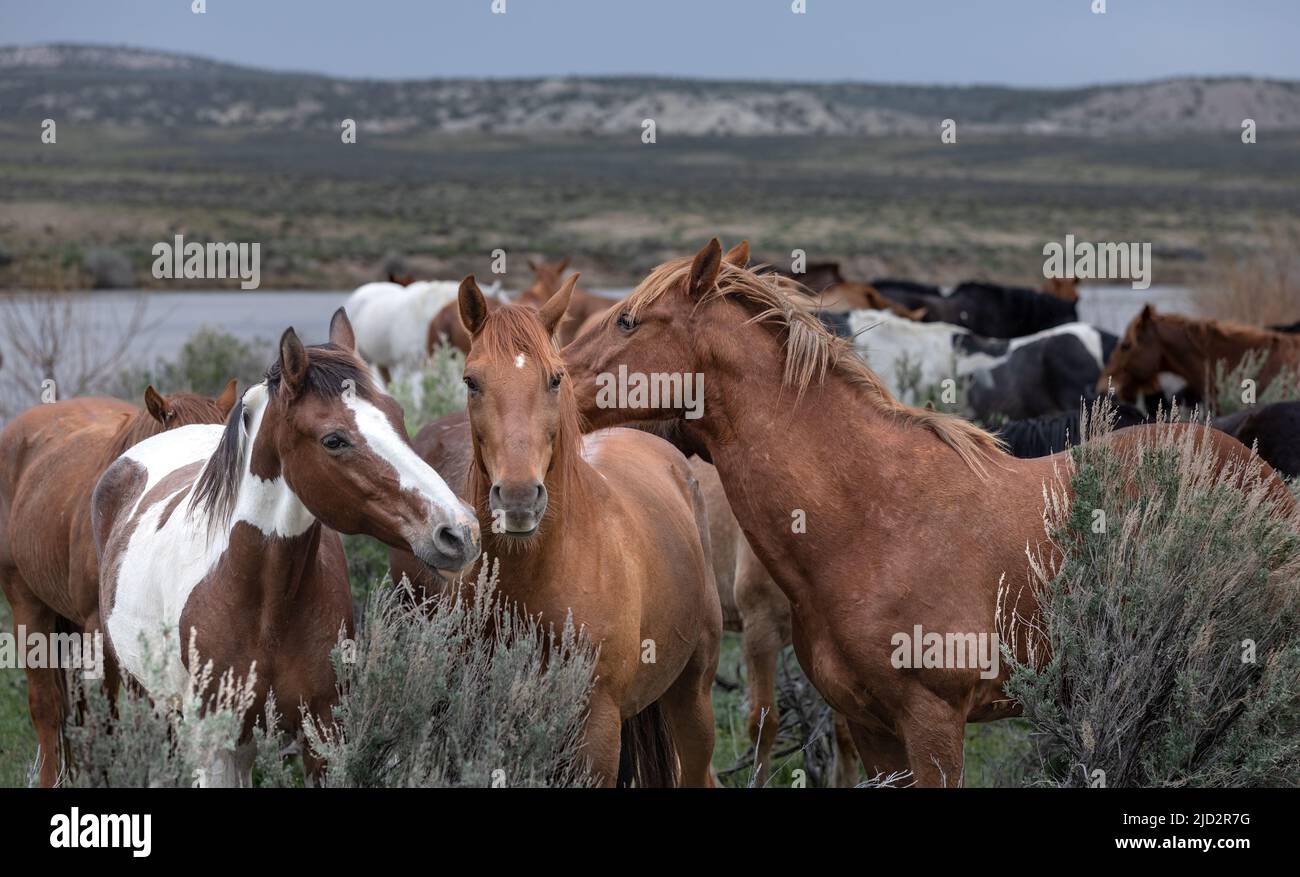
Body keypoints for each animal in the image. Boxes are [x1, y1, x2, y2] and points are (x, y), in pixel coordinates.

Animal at [91, 309, 479, 786]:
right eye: (334, 440)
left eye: (398, 414)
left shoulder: (324, 733)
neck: (264, 605)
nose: (459, 531)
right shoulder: (212, 743)